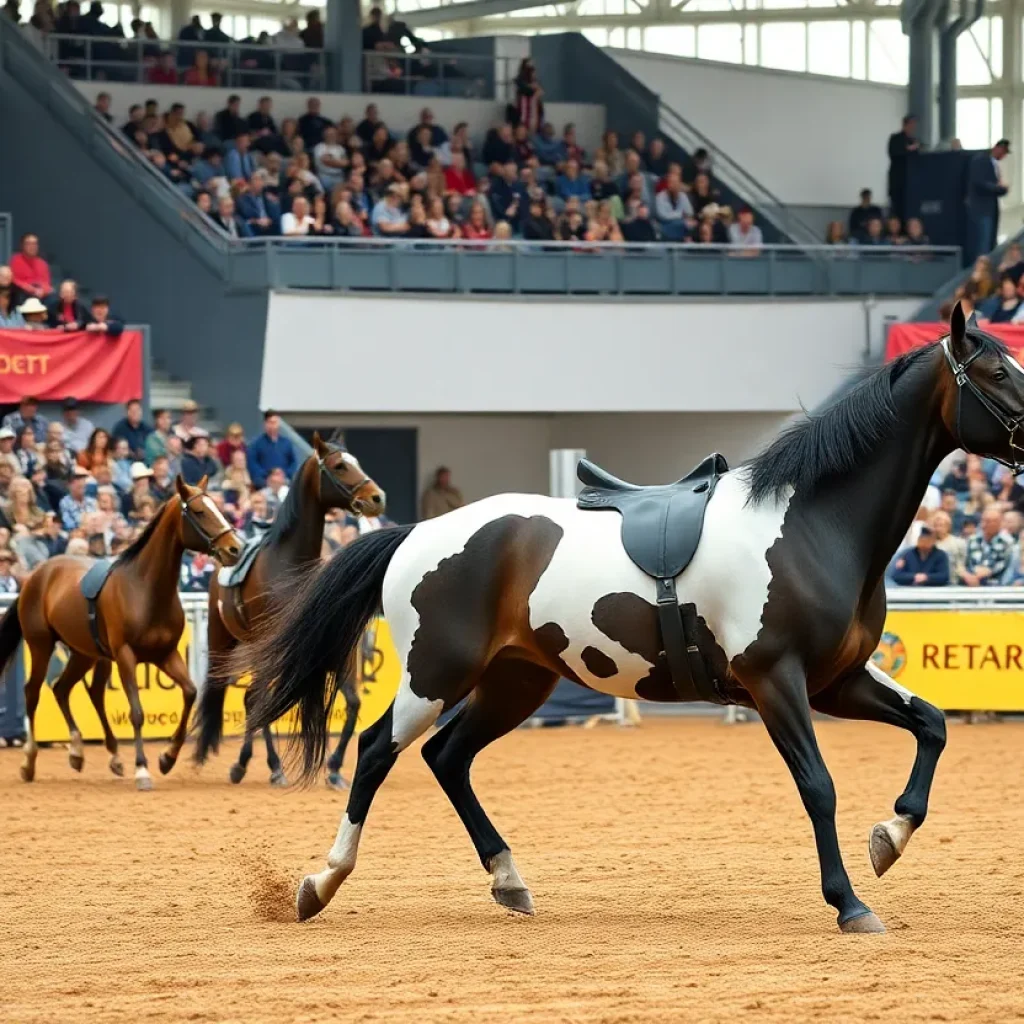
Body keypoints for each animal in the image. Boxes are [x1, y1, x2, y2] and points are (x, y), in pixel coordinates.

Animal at [0, 475, 244, 790]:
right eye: (200, 511)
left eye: (218, 508)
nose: (235, 549)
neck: (145, 589)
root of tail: (36, 575)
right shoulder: (126, 656)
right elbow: (137, 712)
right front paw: (142, 769)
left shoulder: (165, 655)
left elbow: (190, 692)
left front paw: (167, 758)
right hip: (41, 645)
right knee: (33, 692)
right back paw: (29, 761)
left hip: (85, 654)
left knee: (66, 689)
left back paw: (84, 753)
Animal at [194, 433, 385, 787]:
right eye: (339, 466)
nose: (377, 498)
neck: (289, 567)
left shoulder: (337, 650)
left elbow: (352, 704)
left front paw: (335, 767)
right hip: (226, 639)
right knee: (252, 699)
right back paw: (262, 765)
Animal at [240, 302, 1020, 934]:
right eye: (997, 371)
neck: (810, 523)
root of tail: (414, 534)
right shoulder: (777, 681)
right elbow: (818, 785)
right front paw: (850, 902)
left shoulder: (837, 679)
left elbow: (932, 723)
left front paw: (891, 835)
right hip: (434, 675)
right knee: (377, 752)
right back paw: (320, 883)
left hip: (515, 681)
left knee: (448, 757)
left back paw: (509, 881)